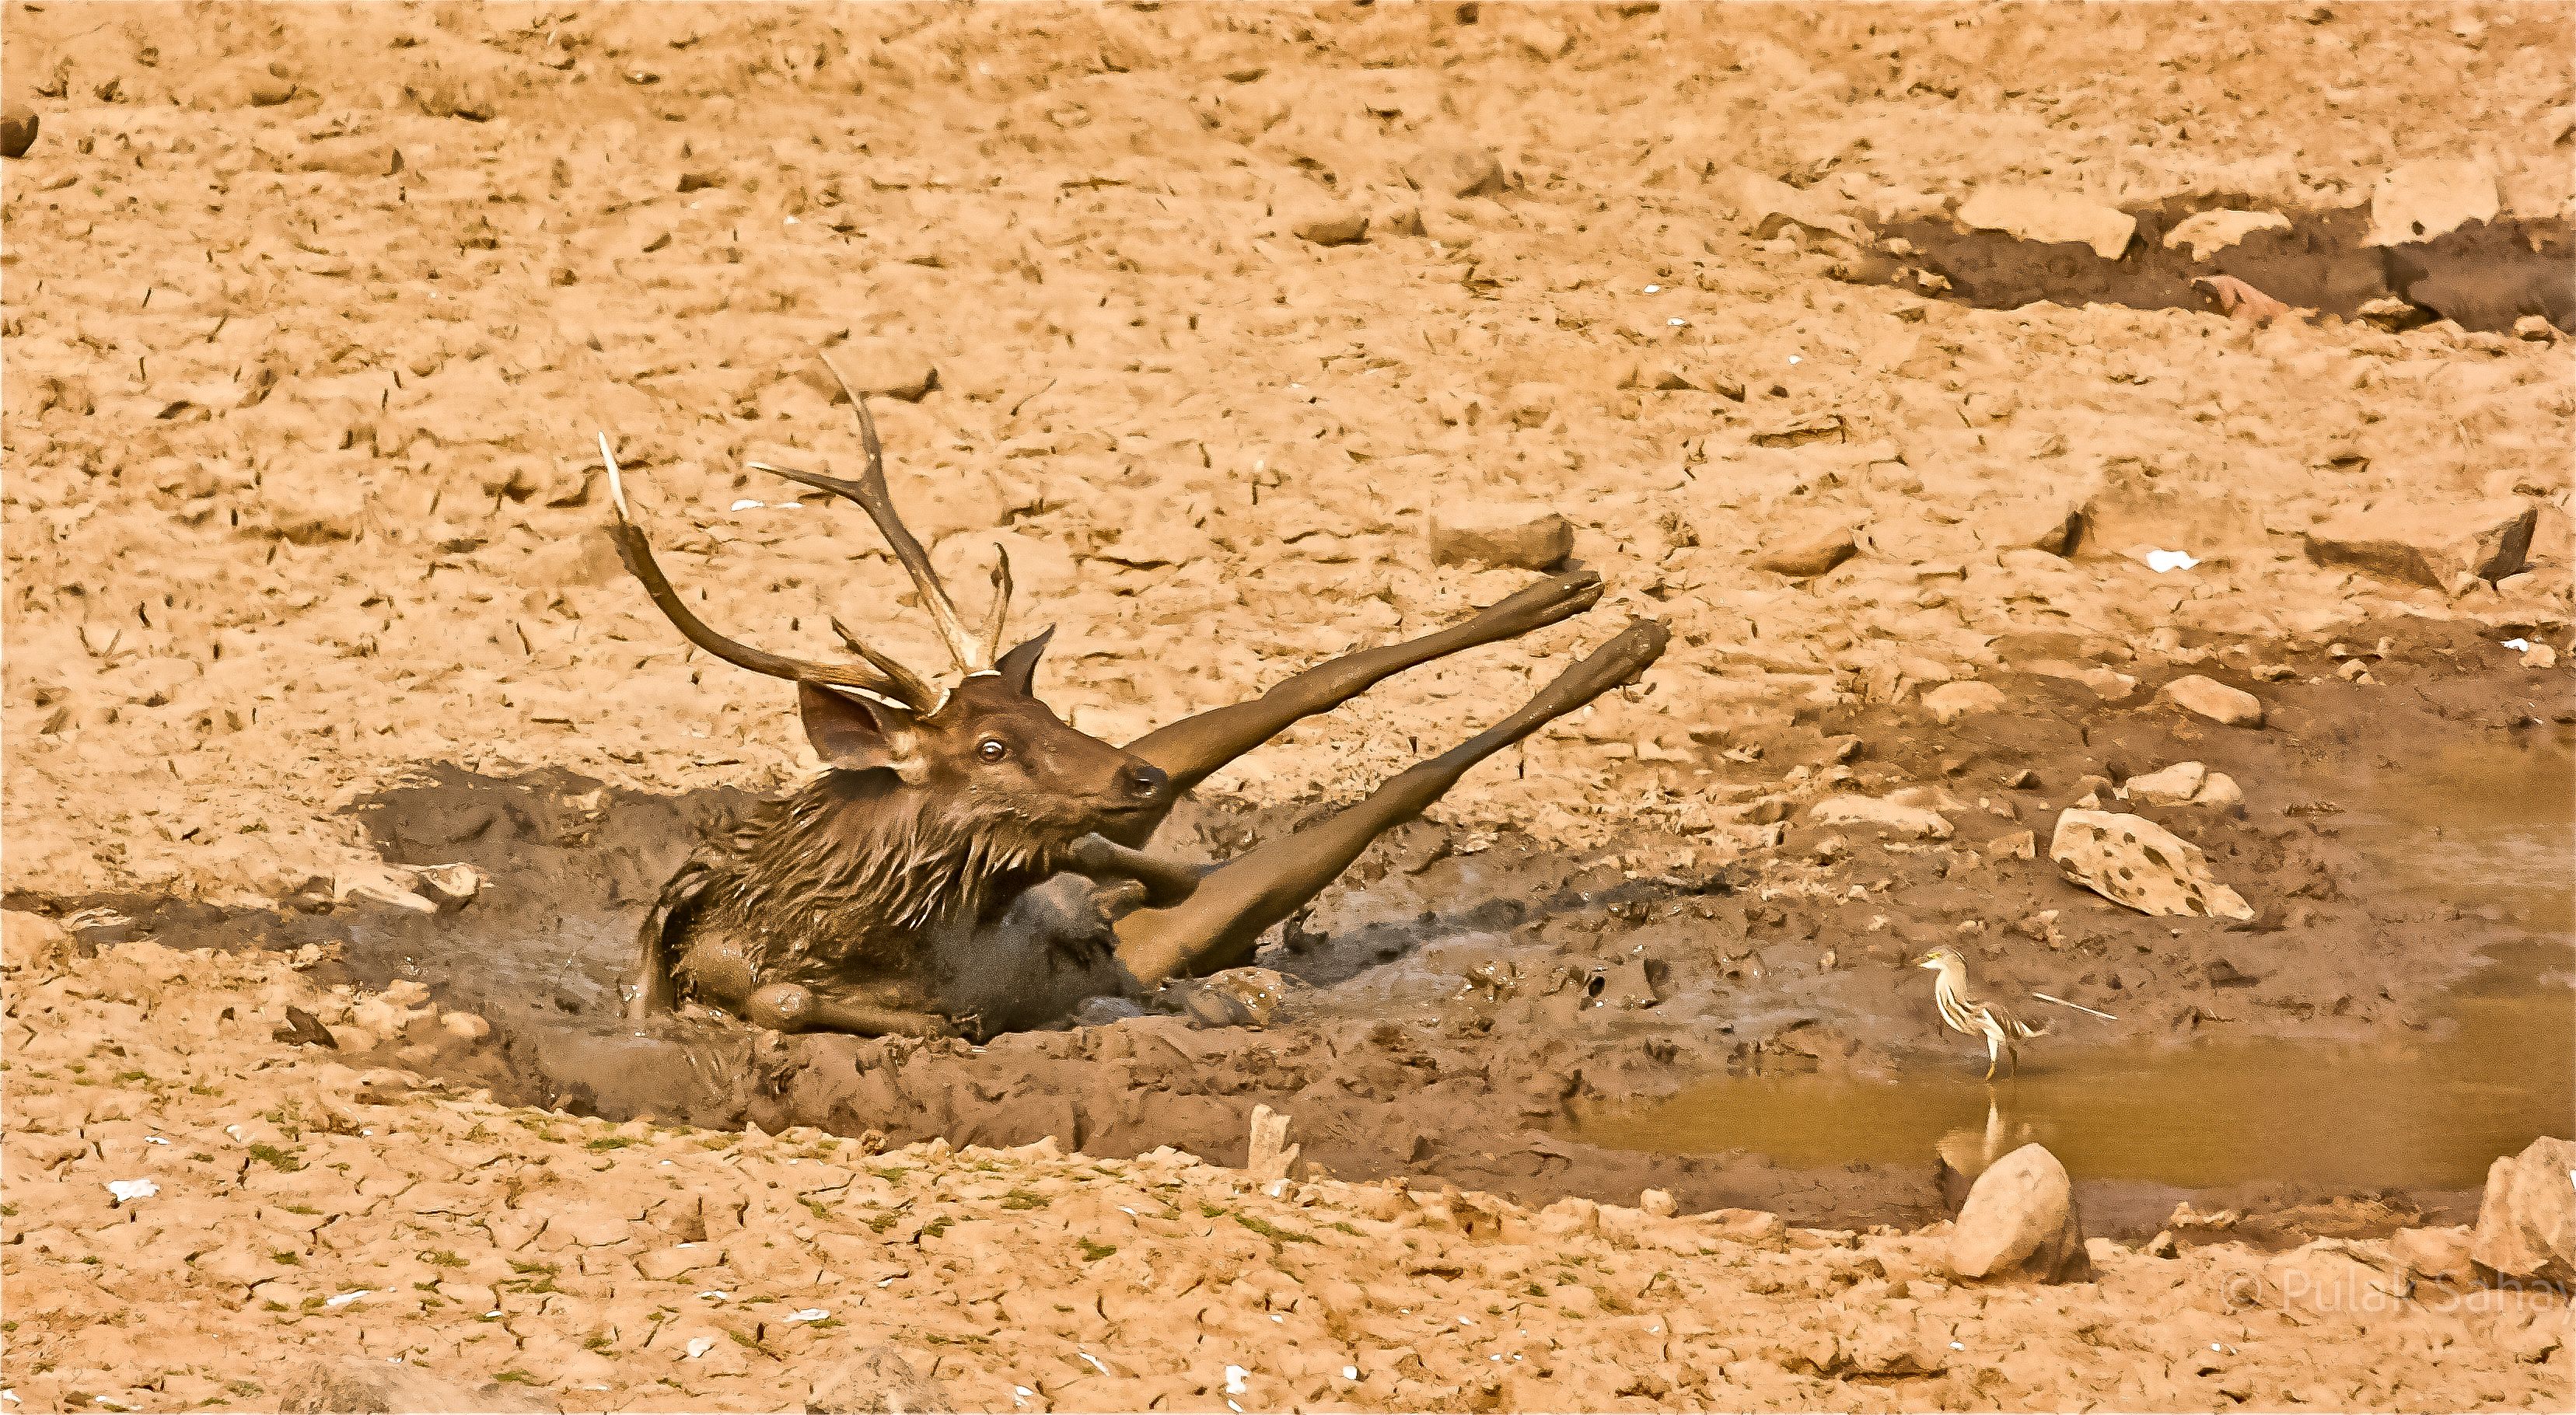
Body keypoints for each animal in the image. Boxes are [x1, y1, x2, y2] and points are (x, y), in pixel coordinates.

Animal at [603, 355, 1669, 1041]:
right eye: (988, 748)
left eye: (1036, 717)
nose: (1138, 775)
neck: (842, 912)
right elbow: (787, 1001)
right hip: (1184, 878)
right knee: (1369, 773)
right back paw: (1606, 631)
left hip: (1158, 802)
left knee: (1309, 687)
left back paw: (1590, 607)